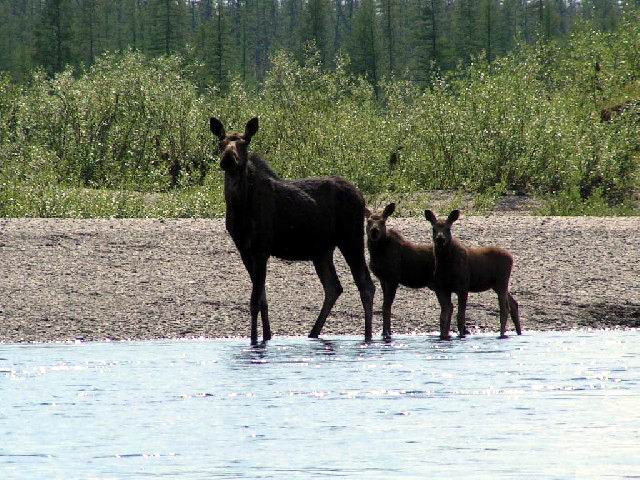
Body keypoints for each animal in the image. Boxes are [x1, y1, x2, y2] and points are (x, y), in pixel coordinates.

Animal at [210, 116, 376, 344]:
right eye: (221, 143)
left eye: (245, 143)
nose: (228, 159)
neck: (239, 207)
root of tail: (361, 197)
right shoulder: (244, 249)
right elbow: (262, 299)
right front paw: (267, 337)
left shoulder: (261, 249)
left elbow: (254, 300)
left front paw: (254, 341)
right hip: (322, 250)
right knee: (334, 287)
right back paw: (313, 333)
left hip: (350, 239)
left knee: (366, 284)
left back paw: (369, 337)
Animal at [364, 202, 444, 342]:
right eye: (368, 221)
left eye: (383, 222)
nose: (374, 231)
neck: (377, 253)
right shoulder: (383, 279)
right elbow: (386, 305)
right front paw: (386, 332)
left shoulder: (393, 278)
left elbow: (386, 306)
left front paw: (386, 334)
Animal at [422, 208, 524, 340]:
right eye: (434, 229)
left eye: (448, 228)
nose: (440, 239)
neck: (445, 264)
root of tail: (511, 257)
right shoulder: (442, 288)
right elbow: (444, 316)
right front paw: (444, 336)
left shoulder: (463, 287)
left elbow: (460, 316)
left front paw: (461, 336)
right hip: (496, 285)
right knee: (513, 304)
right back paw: (518, 332)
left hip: (502, 281)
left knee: (504, 308)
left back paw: (502, 334)